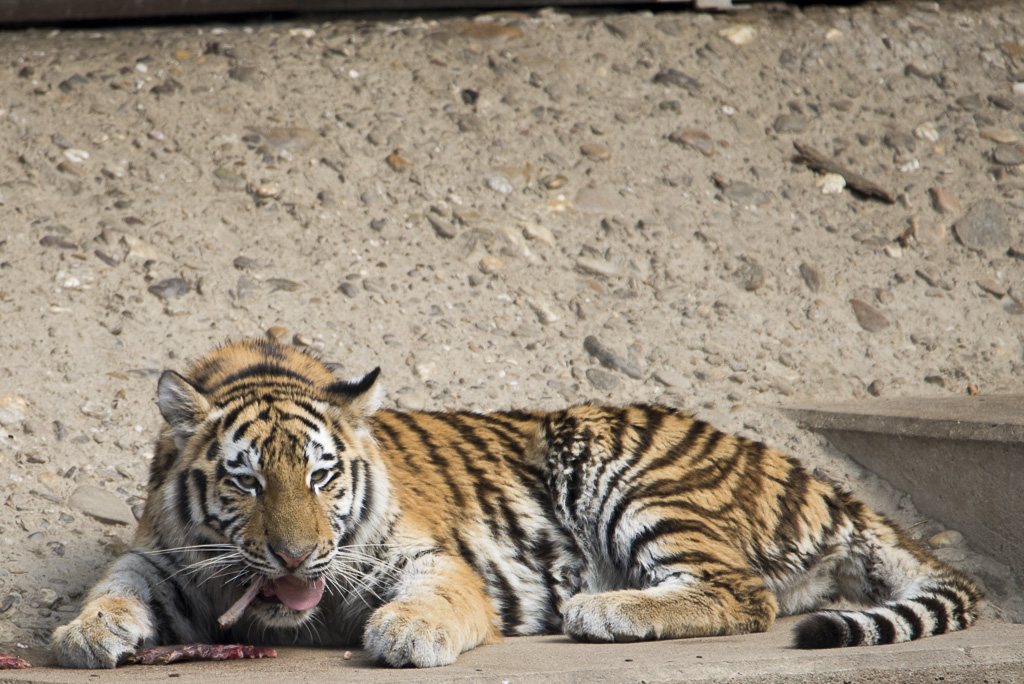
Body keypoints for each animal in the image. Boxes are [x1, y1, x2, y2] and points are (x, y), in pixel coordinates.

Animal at [52, 338, 980, 669]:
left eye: (320, 478)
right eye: (246, 482)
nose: (294, 556)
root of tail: (822, 479)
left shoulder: (429, 557)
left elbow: (434, 598)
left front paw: (407, 633)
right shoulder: (160, 553)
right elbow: (116, 585)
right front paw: (84, 632)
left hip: (617, 455)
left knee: (737, 590)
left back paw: (602, 610)